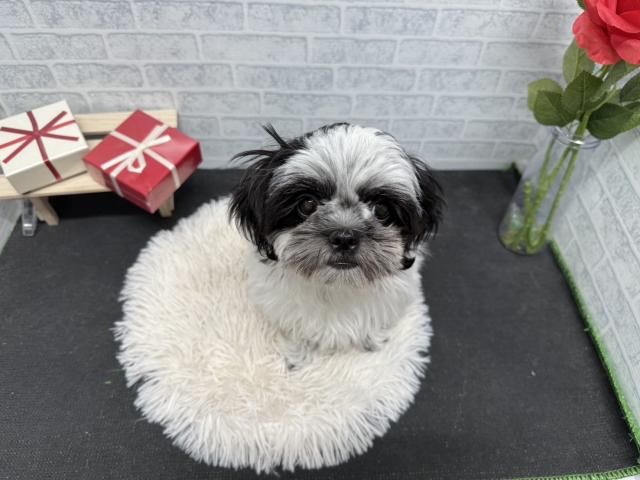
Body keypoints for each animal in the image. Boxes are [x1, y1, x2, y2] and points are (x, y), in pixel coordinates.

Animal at [229, 123, 444, 369]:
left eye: (381, 209)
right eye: (307, 204)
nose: (344, 237)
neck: (338, 285)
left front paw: (373, 340)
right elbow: (296, 328)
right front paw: (297, 356)